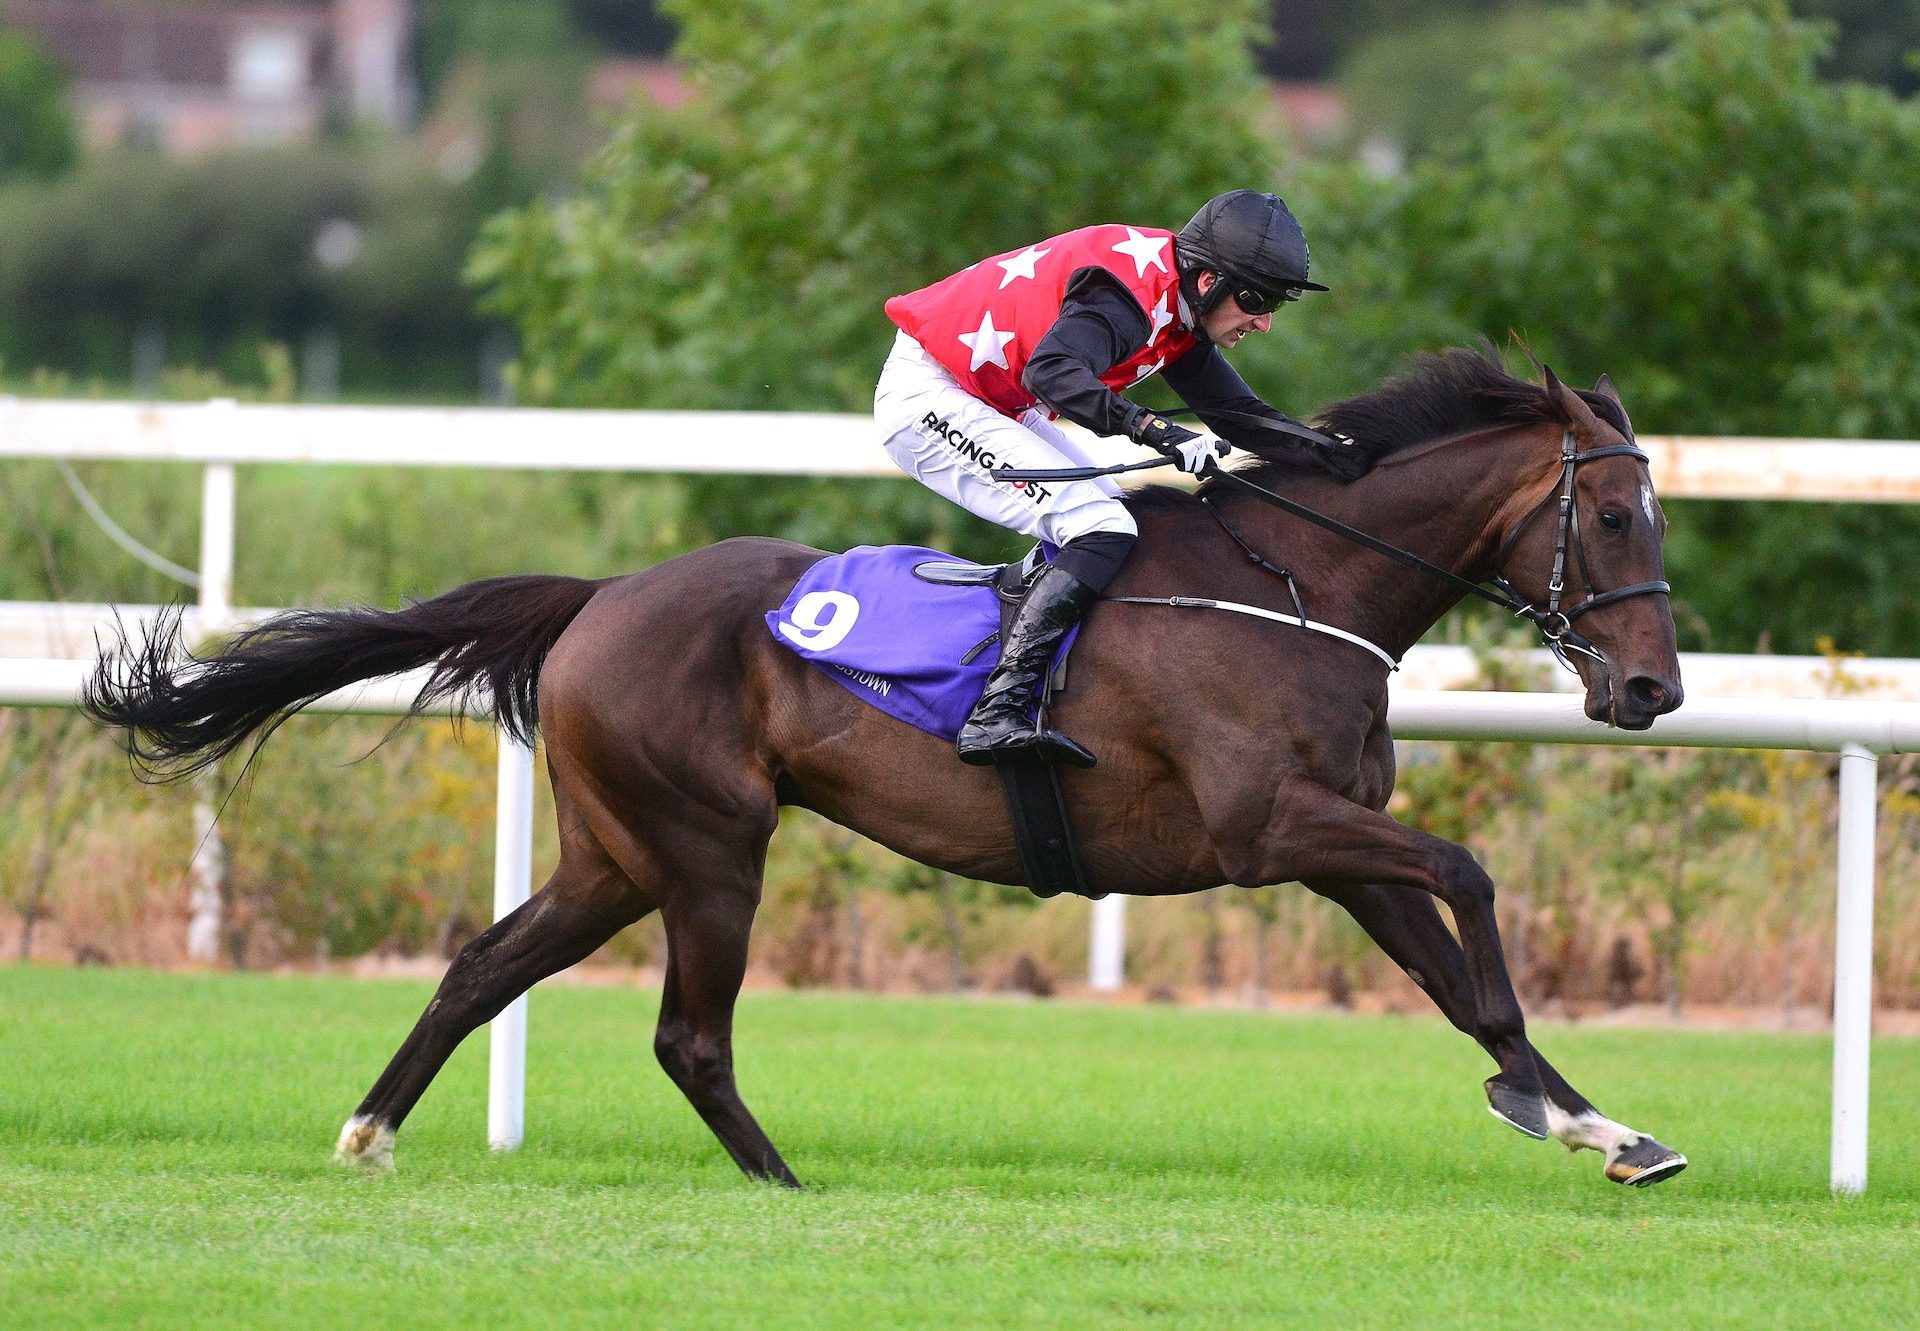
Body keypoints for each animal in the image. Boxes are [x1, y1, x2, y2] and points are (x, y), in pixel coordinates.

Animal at [82, 345, 1689, 1183]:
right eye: (1615, 518)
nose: (1656, 687)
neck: (1296, 584)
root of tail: (599, 596)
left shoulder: (1337, 837)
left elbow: (1457, 976)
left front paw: (1595, 1120)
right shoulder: (1274, 827)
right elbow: (1474, 893)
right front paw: (1559, 1106)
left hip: (616, 854)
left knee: (484, 962)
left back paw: (368, 1131)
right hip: (708, 847)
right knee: (689, 1033)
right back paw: (782, 1180)